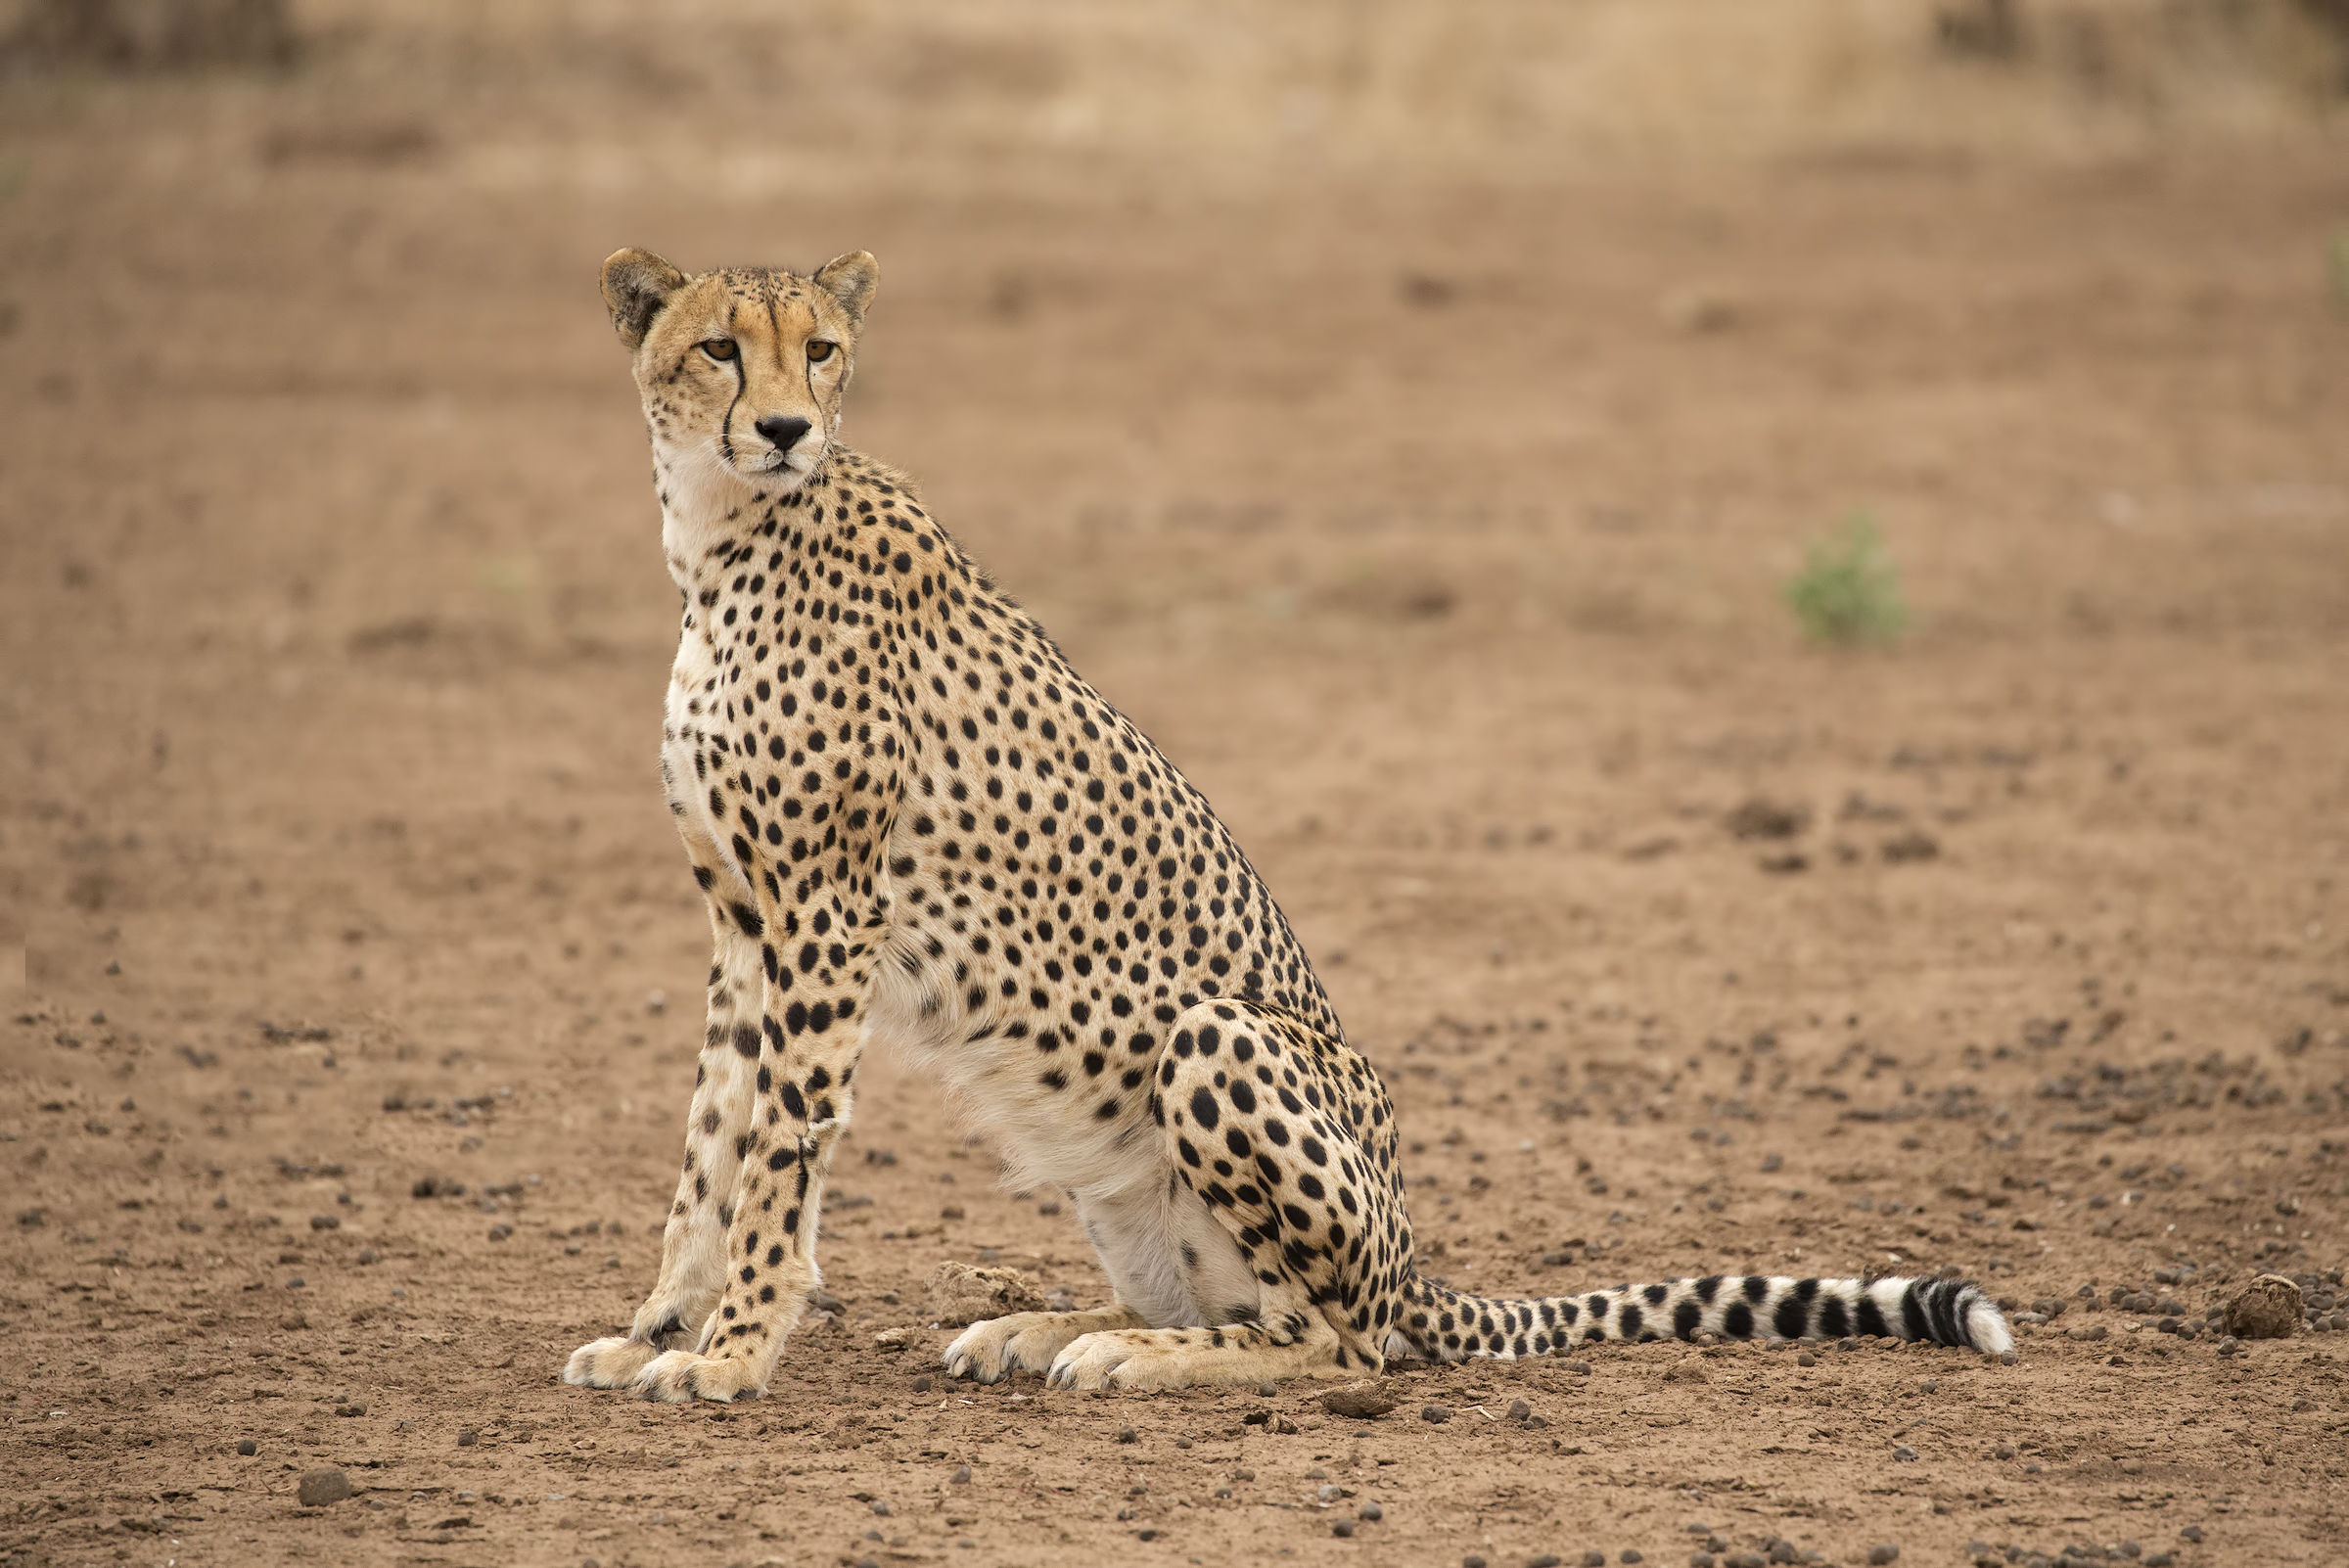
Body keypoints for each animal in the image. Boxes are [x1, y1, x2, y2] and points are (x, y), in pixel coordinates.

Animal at [560, 246, 2014, 1403]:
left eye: (821, 348)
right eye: (717, 347)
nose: (786, 426)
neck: (722, 535)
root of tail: (1416, 1255)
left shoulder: (827, 910)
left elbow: (777, 1149)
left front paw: (735, 1349)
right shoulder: (744, 919)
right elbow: (710, 1138)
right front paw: (660, 1328)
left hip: (1221, 1034)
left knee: (1334, 1340)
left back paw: (1125, 1353)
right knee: (1228, 1299)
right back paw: (1043, 1324)